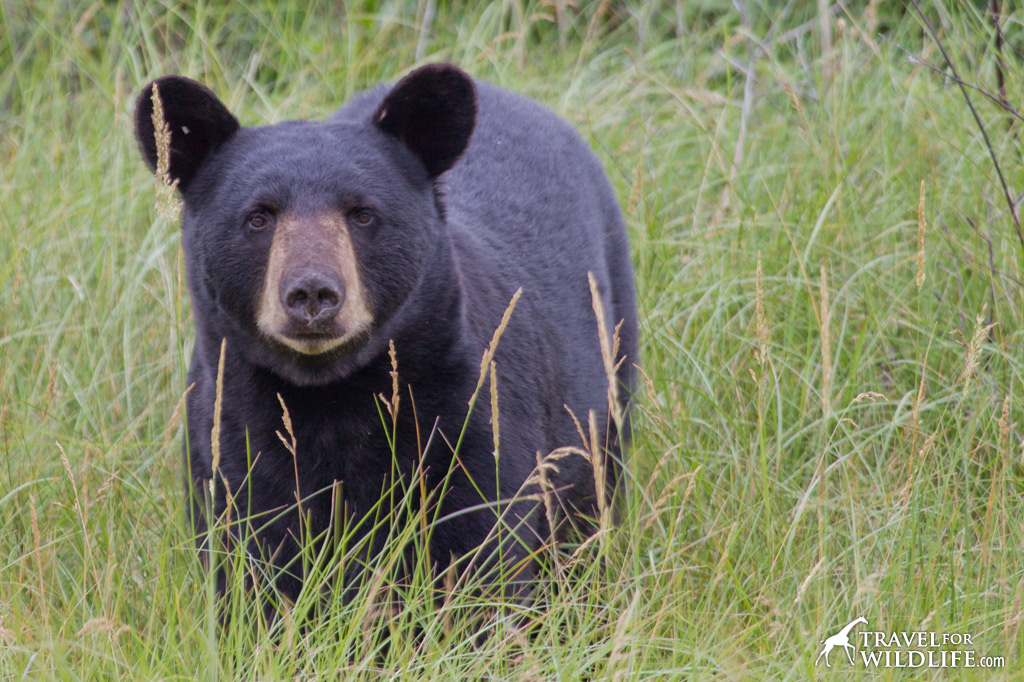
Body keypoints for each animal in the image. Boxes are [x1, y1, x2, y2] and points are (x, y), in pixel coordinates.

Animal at [132, 63, 634, 606]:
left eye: (362, 213)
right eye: (258, 217)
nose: (313, 293)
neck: (331, 396)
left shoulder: (474, 418)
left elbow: (485, 552)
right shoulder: (227, 431)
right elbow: (249, 560)